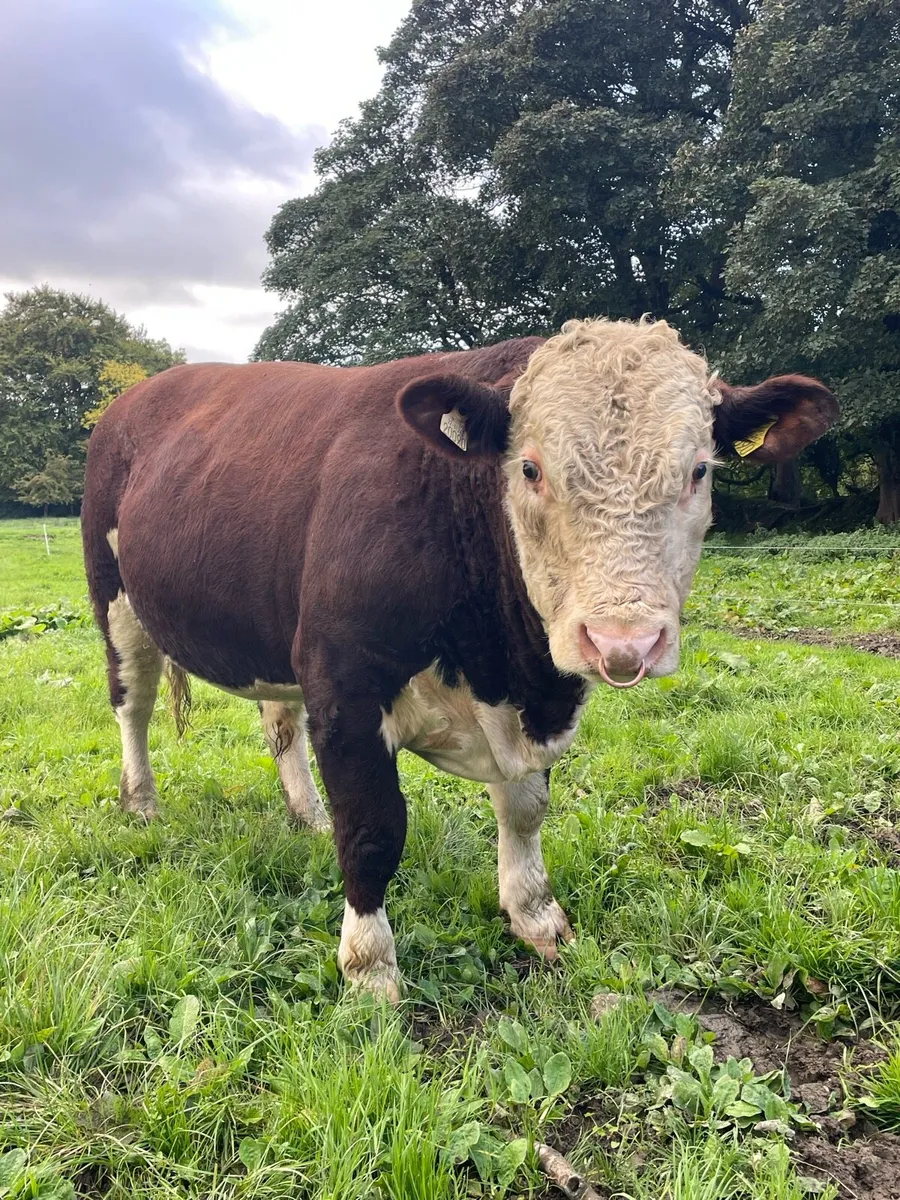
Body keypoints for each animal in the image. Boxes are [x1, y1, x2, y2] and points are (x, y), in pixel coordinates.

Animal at [81, 318, 838, 1000]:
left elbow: (526, 808)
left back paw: (305, 813)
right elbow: (373, 829)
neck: (501, 667)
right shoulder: (344, 686)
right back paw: (141, 803)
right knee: (132, 703)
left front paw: (535, 916)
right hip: (114, 596)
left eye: (699, 470)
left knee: (278, 722)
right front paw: (370, 972)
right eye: (529, 468)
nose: (623, 641)